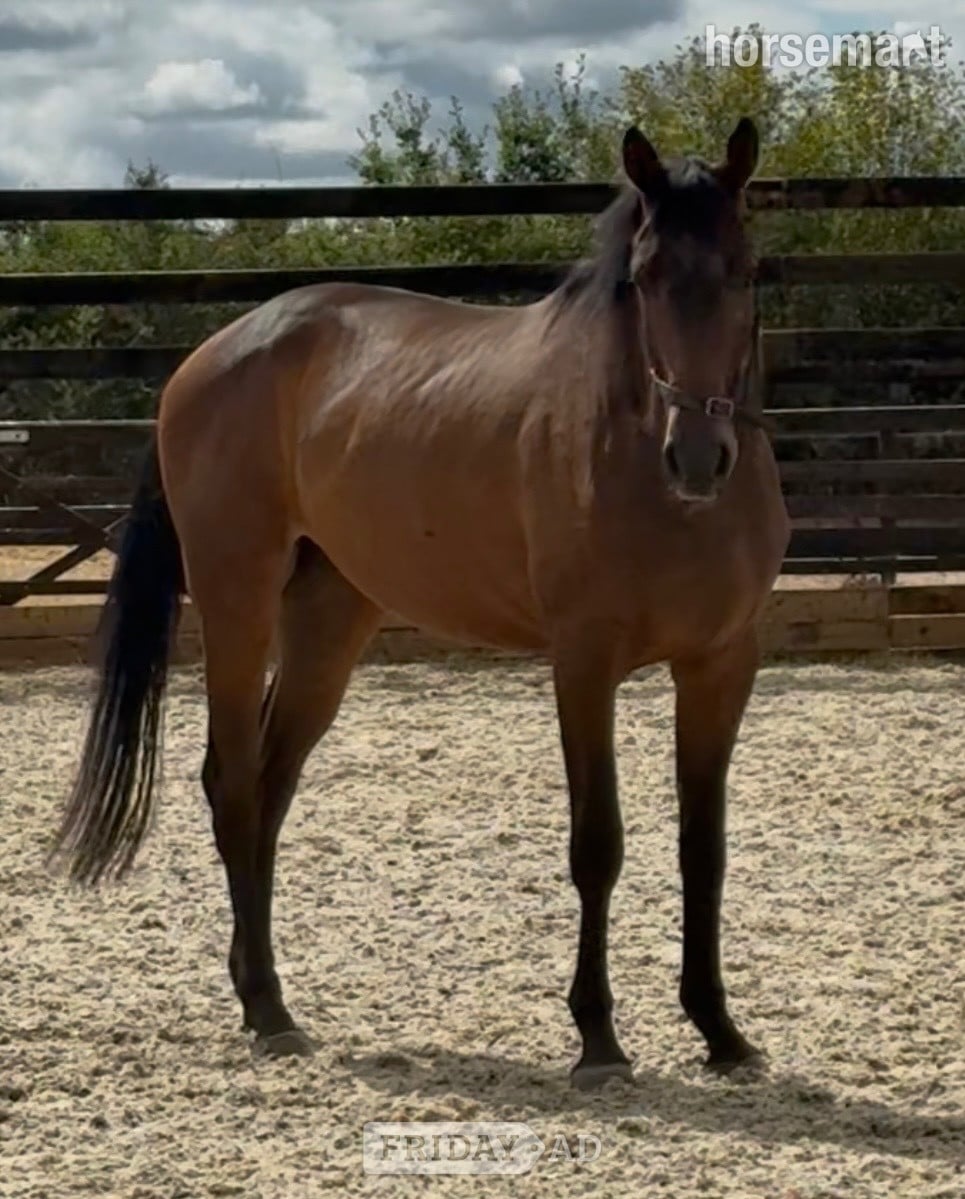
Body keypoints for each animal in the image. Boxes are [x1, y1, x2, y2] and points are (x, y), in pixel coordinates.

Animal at [49, 117, 790, 1090]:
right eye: (643, 277)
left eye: (744, 270)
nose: (698, 456)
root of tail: (205, 359)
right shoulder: (582, 662)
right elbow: (597, 843)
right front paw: (596, 1037)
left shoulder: (721, 665)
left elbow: (702, 848)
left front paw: (719, 1030)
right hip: (237, 596)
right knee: (234, 782)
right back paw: (269, 1012)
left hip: (330, 617)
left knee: (273, 787)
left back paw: (262, 992)